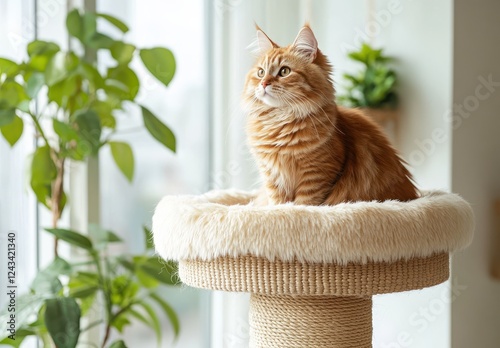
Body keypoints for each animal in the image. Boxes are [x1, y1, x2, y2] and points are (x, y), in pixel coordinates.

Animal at [243, 25, 418, 205]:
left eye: (284, 71)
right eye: (261, 73)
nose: (264, 83)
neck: (279, 120)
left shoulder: (317, 173)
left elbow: (303, 203)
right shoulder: (272, 177)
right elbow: (278, 203)